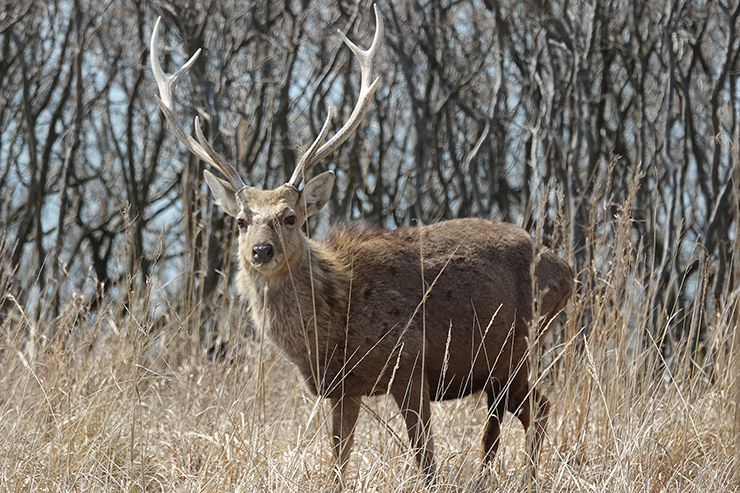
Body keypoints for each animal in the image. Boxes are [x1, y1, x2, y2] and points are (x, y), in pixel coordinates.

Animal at [150, 5, 576, 486]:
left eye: (291, 217)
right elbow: (338, 460)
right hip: (502, 363)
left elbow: (426, 461)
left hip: (518, 345)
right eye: (241, 221)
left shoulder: (410, 364)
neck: (336, 321)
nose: (261, 251)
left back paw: (530, 477)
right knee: (519, 415)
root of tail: (565, 270)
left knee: (538, 408)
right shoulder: (342, 389)